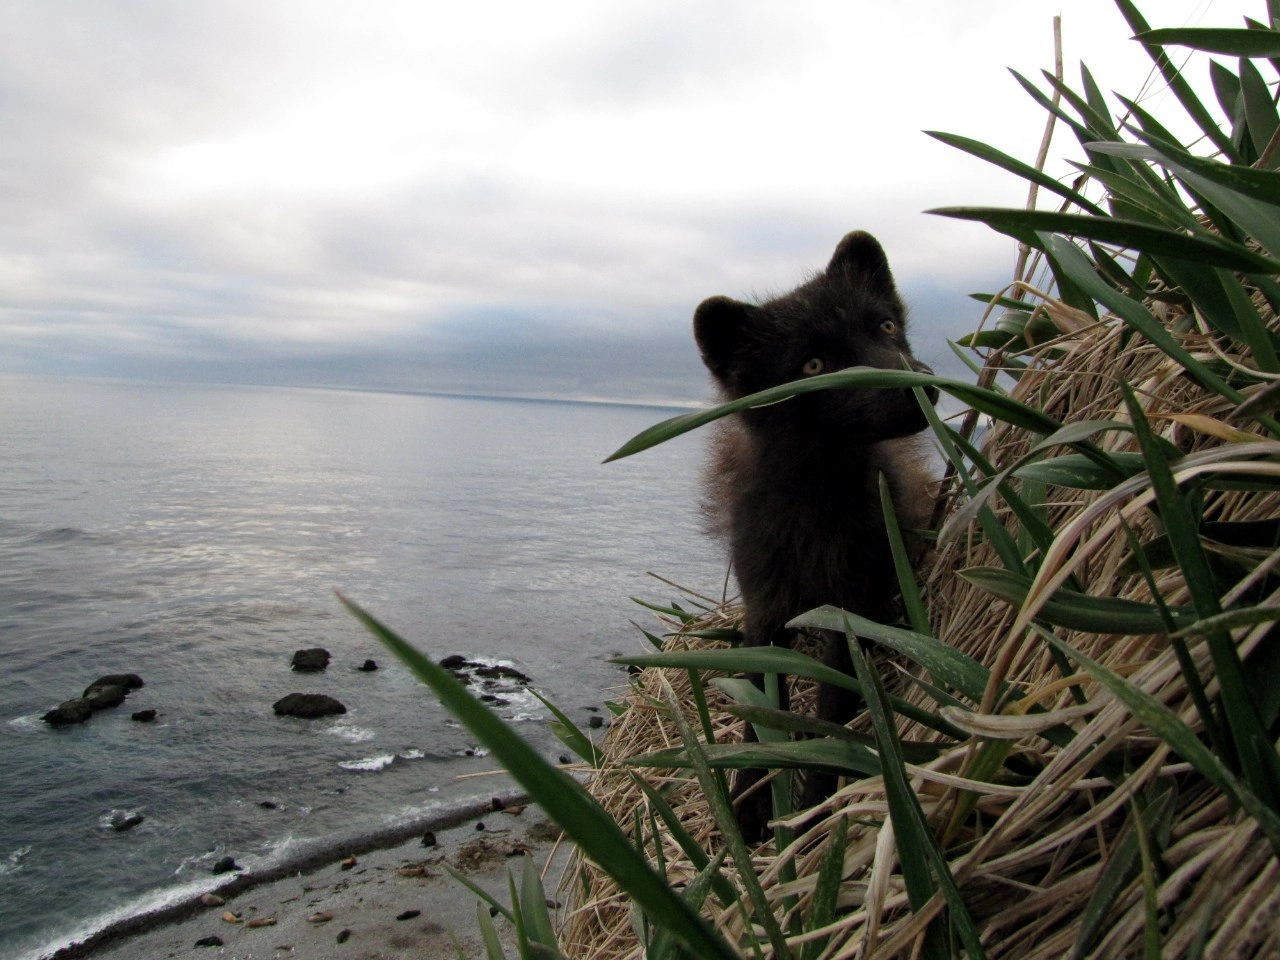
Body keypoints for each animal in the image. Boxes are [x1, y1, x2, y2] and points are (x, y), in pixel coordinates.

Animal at [696, 229, 936, 839]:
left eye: (886, 326)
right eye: (812, 363)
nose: (915, 386)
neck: (816, 504)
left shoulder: (854, 606)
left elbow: (835, 709)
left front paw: (816, 806)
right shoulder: (765, 608)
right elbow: (760, 707)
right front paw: (750, 804)